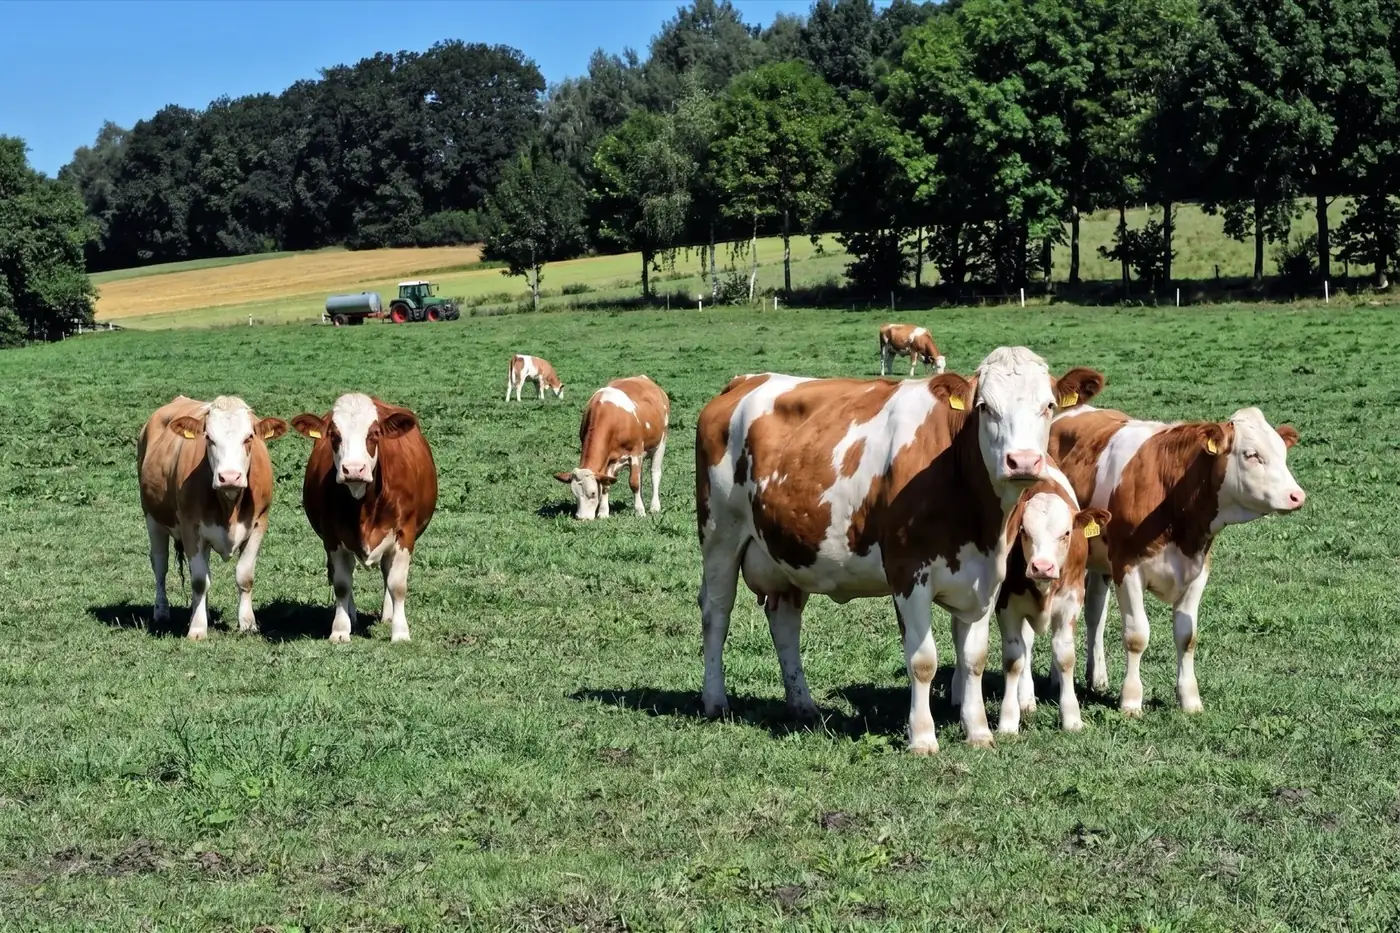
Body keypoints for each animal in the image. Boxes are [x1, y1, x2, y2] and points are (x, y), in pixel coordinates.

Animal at [137, 395, 288, 640]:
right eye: (208, 437)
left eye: (249, 437)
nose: (229, 477)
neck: (229, 504)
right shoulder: (190, 527)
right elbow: (199, 581)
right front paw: (198, 628)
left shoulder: (259, 524)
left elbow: (244, 576)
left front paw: (247, 624)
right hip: (152, 517)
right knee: (160, 564)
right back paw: (161, 611)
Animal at [290, 394, 438, 643]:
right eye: (334, 435)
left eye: (374, 434)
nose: (353, 469)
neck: (364, 503)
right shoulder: (332, 537)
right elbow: (341, 584)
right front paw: (340, 629)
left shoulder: (404, 534)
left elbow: (397, 585)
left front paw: (400, 632)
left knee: (387, 572)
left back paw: (388, 615)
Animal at [554, 375, 669, 520]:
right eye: (574, 494)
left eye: (592, 493)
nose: (582, 518)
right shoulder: (609, 458)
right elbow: (606, 484)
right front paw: (603, 512)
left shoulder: (635, 453)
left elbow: (634, 483)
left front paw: (639, 511)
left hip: (661, 442)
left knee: (655, 473)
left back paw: (654, 506)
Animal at [696, 347, 1104, 752]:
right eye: (985, 406)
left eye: (1048, 405)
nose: (1022, 461)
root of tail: (746, 380)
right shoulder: (909, 574)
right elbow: (923, 661)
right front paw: (922, 737)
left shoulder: (986, 579)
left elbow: (974, 658)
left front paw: (978, 732)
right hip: (720, 535)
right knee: (716, 612)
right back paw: (715, 700)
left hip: (788, 553)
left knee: (784, 621)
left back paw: (802, 704)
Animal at [1050, 405, 1305, 717]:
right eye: (1251, 454)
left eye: (1282, 452)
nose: (1297, 496)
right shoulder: (1127, 567)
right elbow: (1136, 636)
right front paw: (1131, 700)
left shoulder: (1198, 570)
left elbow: (1187, 636)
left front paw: (1190, 699)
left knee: (1095, 614)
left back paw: (1096, 677)